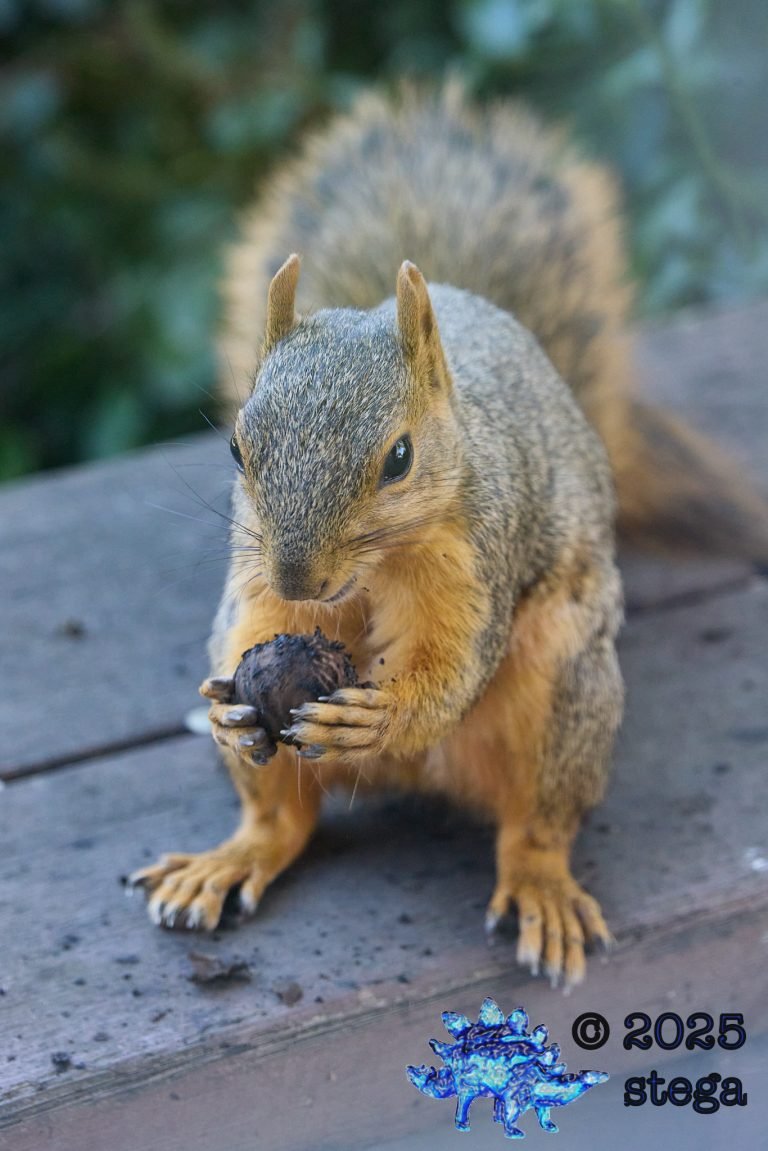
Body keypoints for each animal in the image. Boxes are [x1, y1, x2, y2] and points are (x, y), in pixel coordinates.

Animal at [130, 83, 768, 987]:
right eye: (235, 448)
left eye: (398, 457)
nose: (298, 579)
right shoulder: (254, 571)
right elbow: (260, 622)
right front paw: (230, 709)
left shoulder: (477, 554)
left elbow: (454, 660)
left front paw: (385, 710)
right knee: (283, 821)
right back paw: (229, 857)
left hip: (564, 687)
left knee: (536, 821)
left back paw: (540, 883)